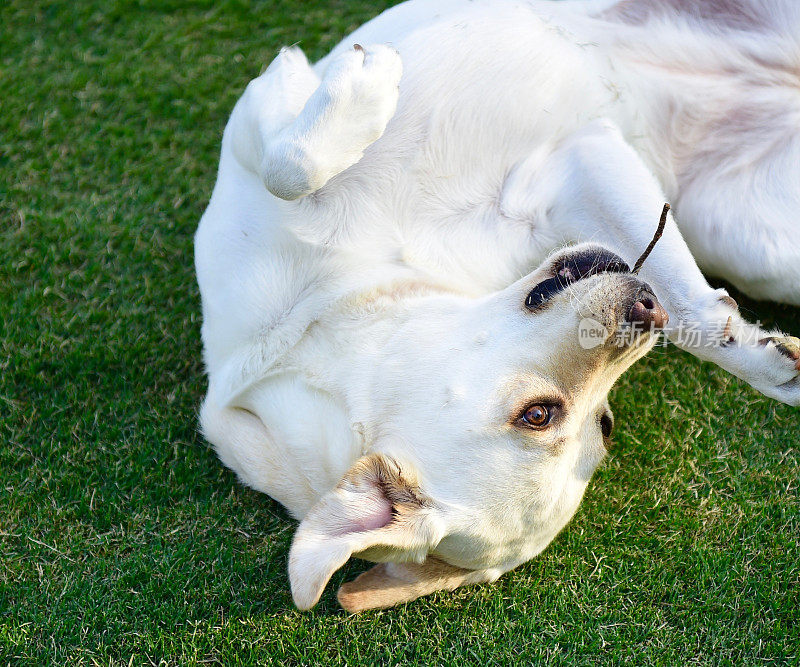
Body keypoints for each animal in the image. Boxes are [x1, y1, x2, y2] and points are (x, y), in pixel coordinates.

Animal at [194, 0, 800, 612]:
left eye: (603, 425)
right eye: (544, 415)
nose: (647, 307)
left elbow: (287, 166)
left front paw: (364, 82)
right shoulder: (569, 169)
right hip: (753, 241)